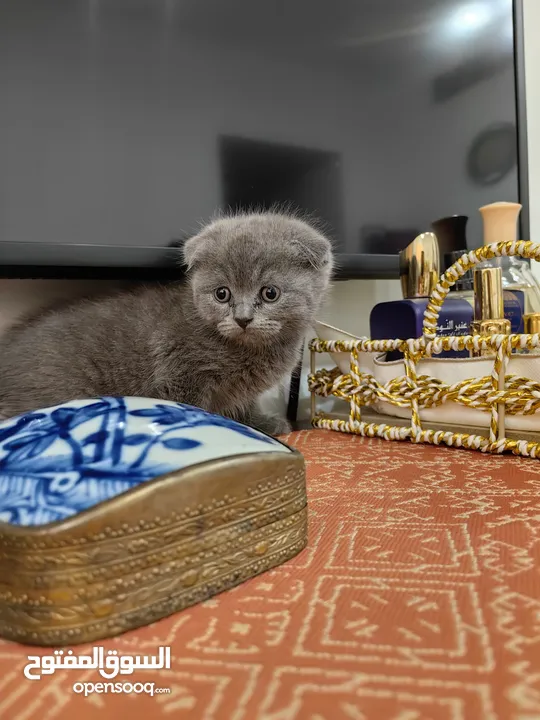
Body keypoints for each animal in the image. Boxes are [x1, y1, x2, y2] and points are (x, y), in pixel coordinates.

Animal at [0, 208, 334, 434]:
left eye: (270, 293)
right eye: (222, 294)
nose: (242, 318)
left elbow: (243, 403)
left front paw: (260, 423)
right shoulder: (181, 372)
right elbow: (193, 406)